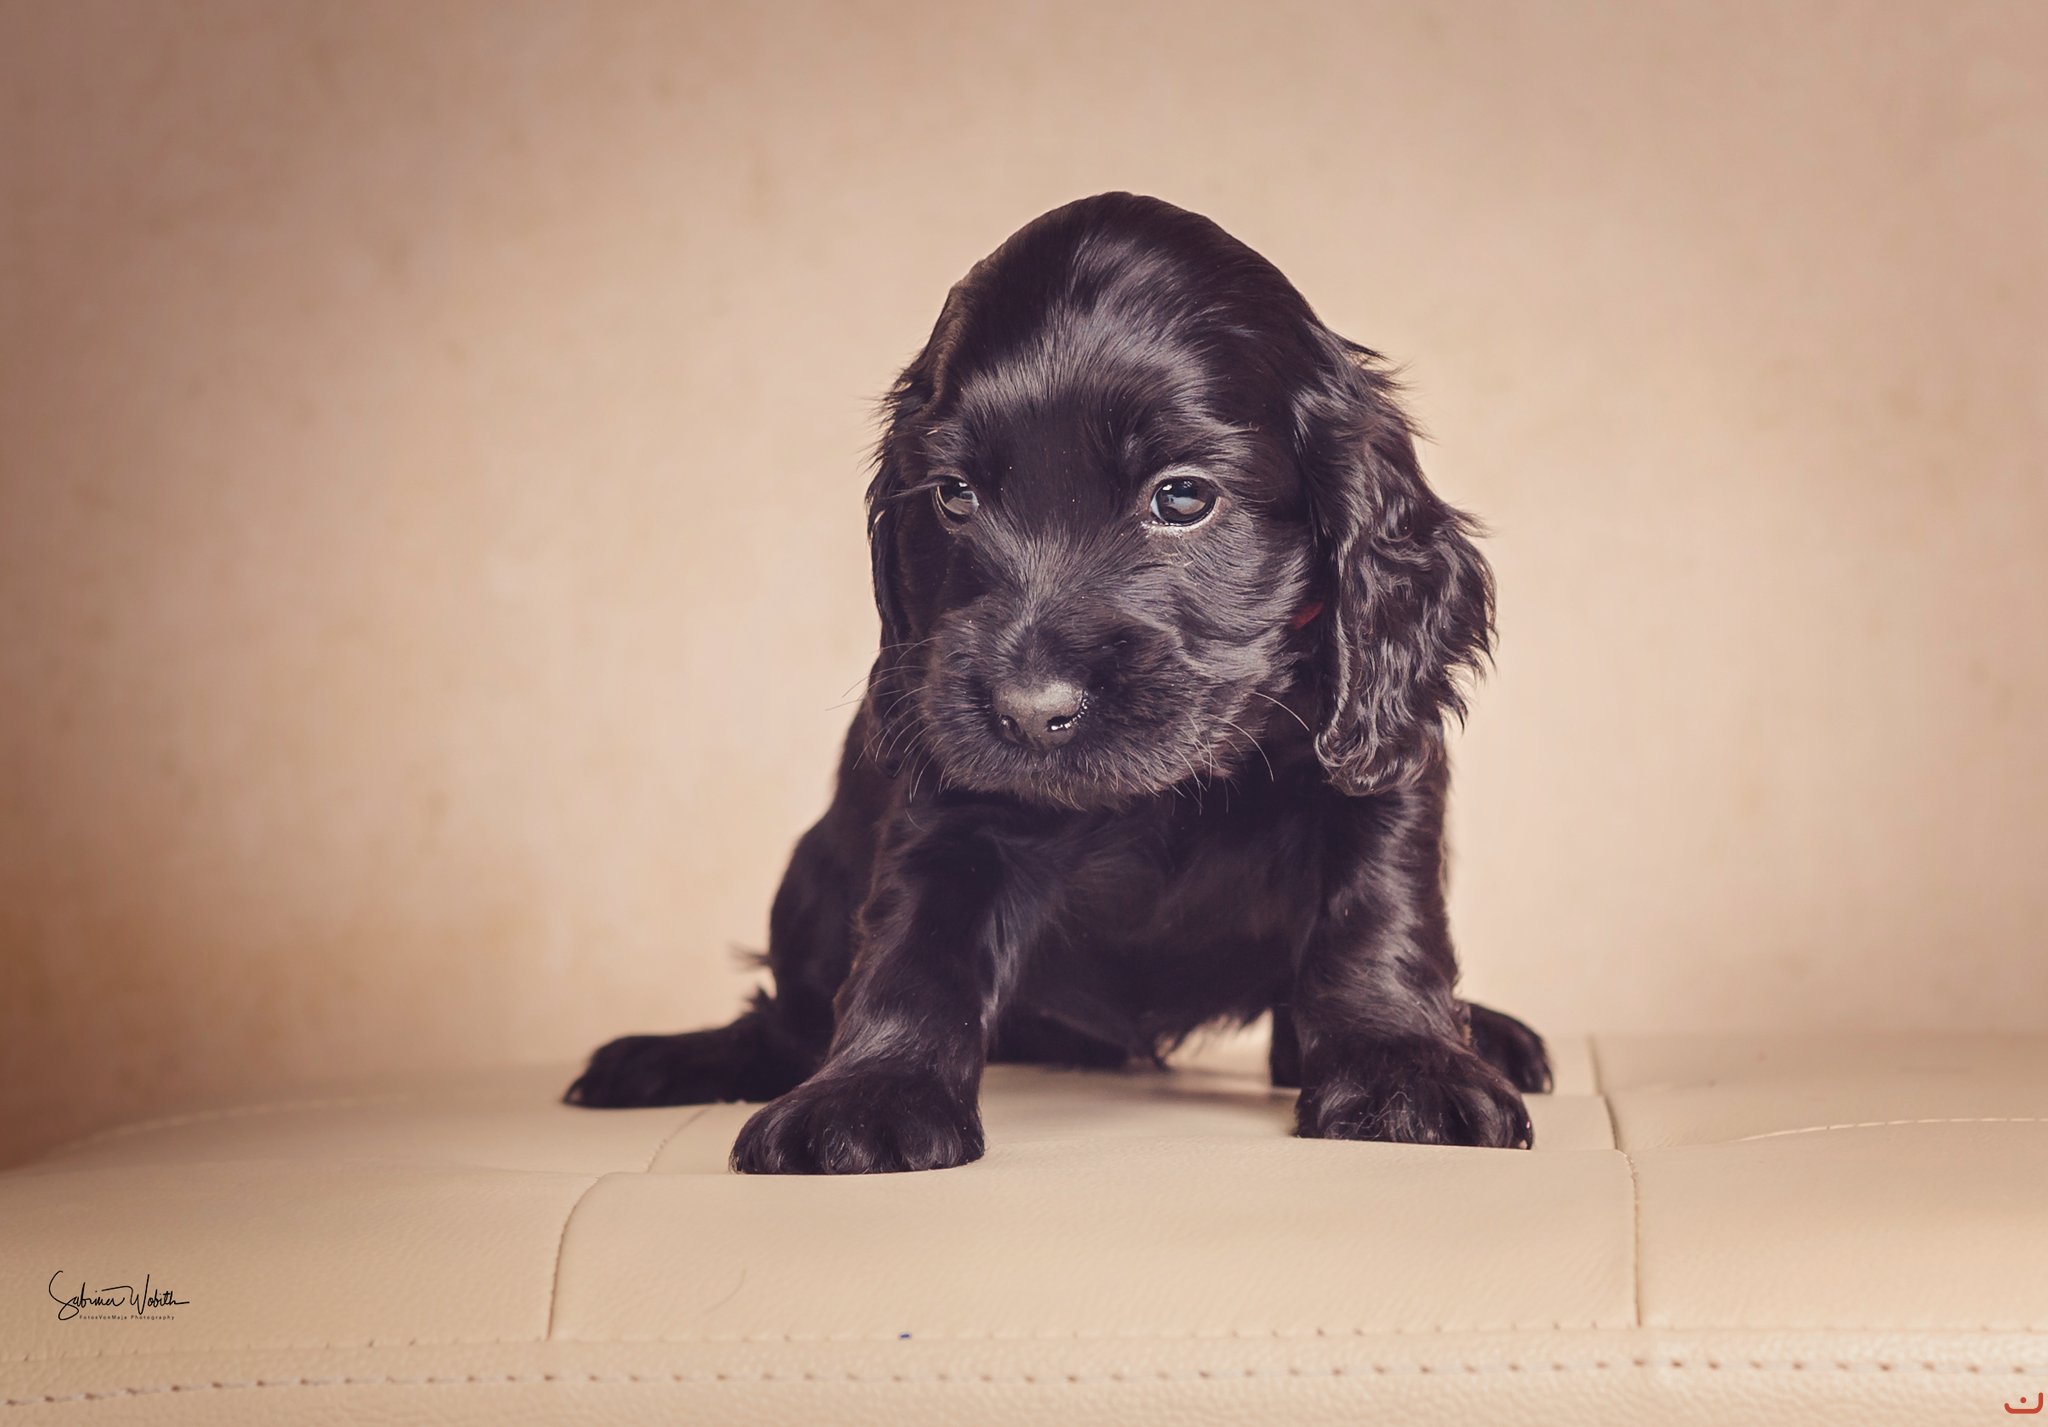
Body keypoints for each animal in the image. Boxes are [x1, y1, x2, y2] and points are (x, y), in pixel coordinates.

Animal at [566, 192, 1551, 1172]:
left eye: (1183, 497)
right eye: (953, 495)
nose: (1029, 711)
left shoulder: (1376, 763)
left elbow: (1378, 913)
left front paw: (1407, 1065)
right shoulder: (947, 798)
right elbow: (913, 948)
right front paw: (870, 1091)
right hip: (811, 877)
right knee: (788, 1016)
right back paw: (661, 1060)